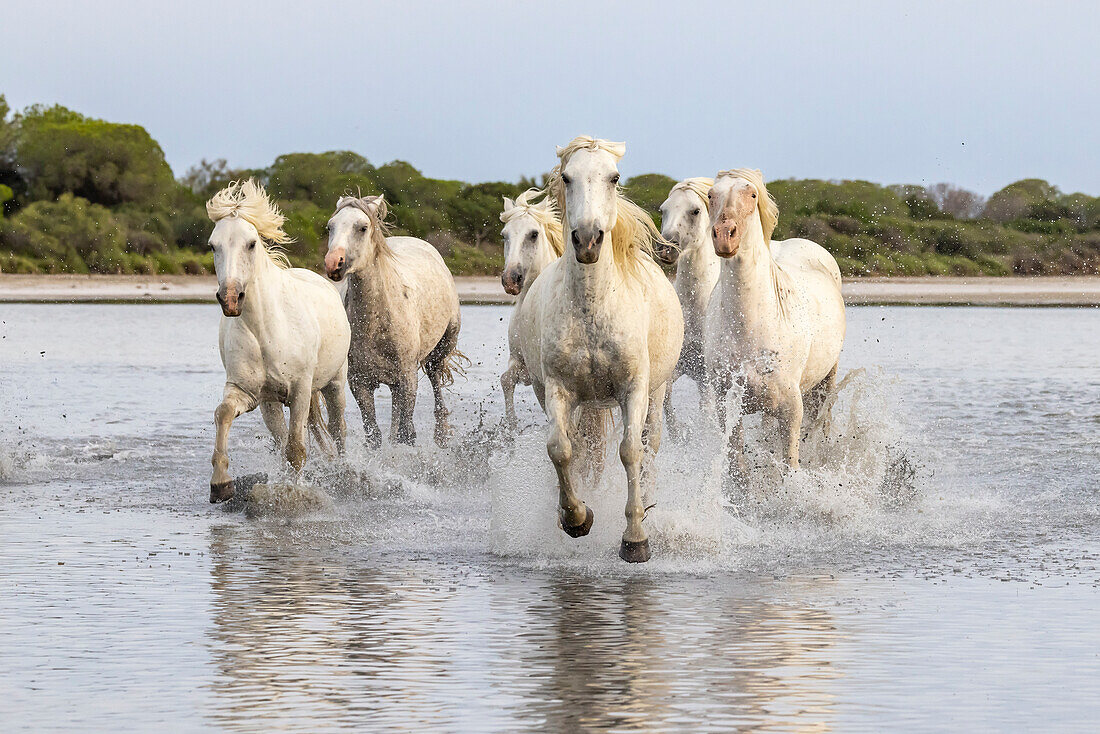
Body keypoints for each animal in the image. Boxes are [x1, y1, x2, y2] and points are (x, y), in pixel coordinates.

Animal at [203, 180, 347, 506]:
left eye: (251, 244)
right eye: (213, 245)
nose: (230, 299)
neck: (265, 331)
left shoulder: (301, 390)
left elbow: (296, 449)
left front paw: (293, 492)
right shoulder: (250, 393)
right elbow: (223, 413)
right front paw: (221, 484)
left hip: (335, 383)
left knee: (339, 429)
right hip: (277, 402)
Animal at [323, 193, 466, 448]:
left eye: (362, 227)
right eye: (330, 227)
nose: (333, 263)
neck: (376, 321)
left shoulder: (408, 377)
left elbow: (406, 433)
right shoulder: (359, 382)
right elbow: (374, 435)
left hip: (440, 350)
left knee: (435, 379)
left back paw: (441, 435)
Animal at [514, 136, 677, 563]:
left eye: (614, 177)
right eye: (567, 177)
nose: (588, 240)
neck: (593, 306)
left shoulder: (633, 389)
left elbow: (631, 452)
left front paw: (635, 538)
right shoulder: (558, 389)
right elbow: (561, 449)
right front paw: (575, 518)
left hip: (657, 391)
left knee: (650, 446)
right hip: (576, 400)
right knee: (580, 446)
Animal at [699, 167, 844, 481]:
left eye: (753, 194)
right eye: (711, 195)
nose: (724, 237)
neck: (750, 329)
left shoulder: (791, 410)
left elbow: (789, 466)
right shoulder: (728, 406)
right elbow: (739, 471)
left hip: (826, 381)